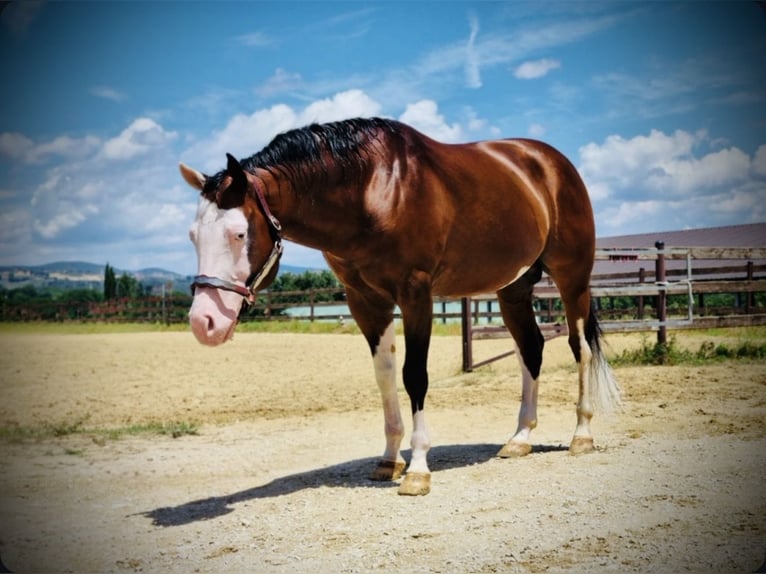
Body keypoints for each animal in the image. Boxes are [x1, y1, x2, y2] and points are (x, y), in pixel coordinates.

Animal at [180, 117, 621, 496]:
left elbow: (415, 376)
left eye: (239, 233)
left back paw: (581, 434)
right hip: (513, 288)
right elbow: (385, 377)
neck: (373, 190)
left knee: (580, 348)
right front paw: (390, 460)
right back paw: (520, 438)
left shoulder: (416, 293)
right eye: (192, 236)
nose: (205, 323)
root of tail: (551, 162)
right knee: (531, 349)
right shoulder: (366, 301)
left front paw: (418, 469)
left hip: (571, 278)